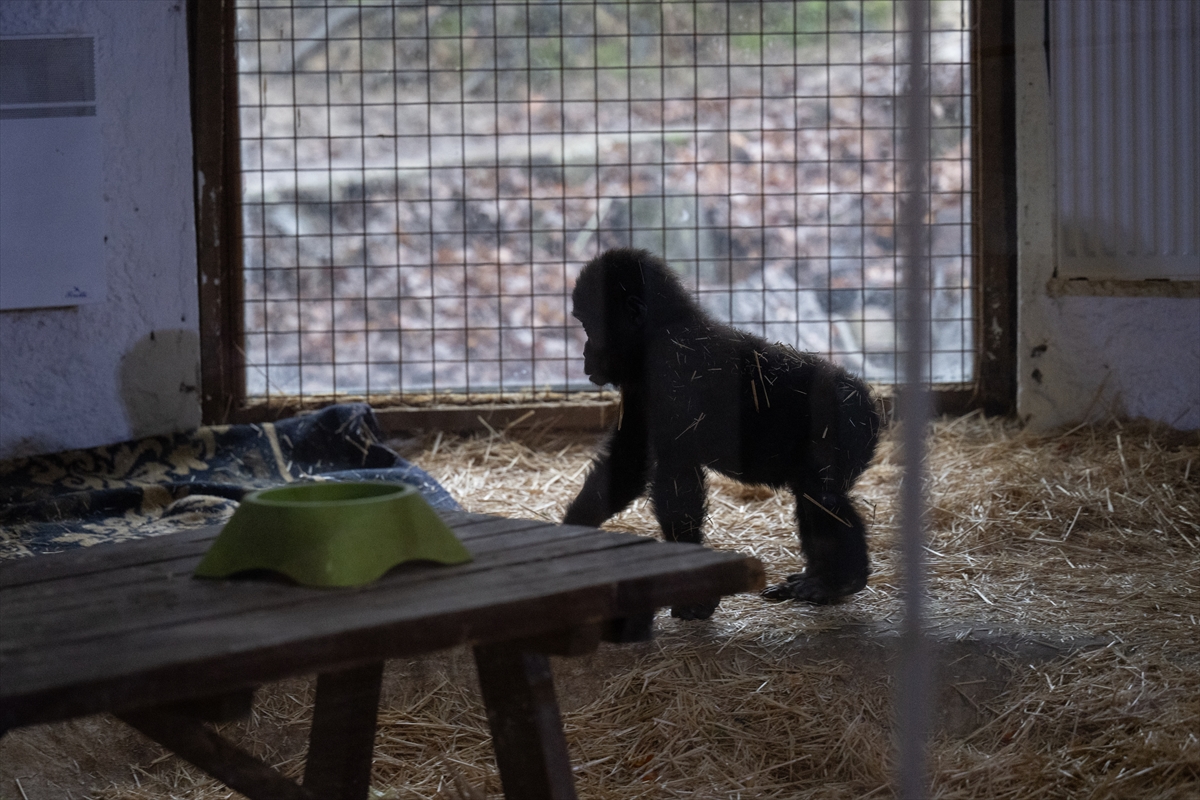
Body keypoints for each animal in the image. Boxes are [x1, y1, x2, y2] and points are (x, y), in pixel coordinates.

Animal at [561, 248, 883, 618]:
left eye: (589, 326)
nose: (585, 353)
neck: (658, 331)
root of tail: (870, 401)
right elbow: (627, 463)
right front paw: (571, 534)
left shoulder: (673, 371)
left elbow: (677, 483)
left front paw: (692, 590)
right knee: (813, 496)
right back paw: (820, 577)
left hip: (847, 423)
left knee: (821, 496)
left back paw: (838, 580)